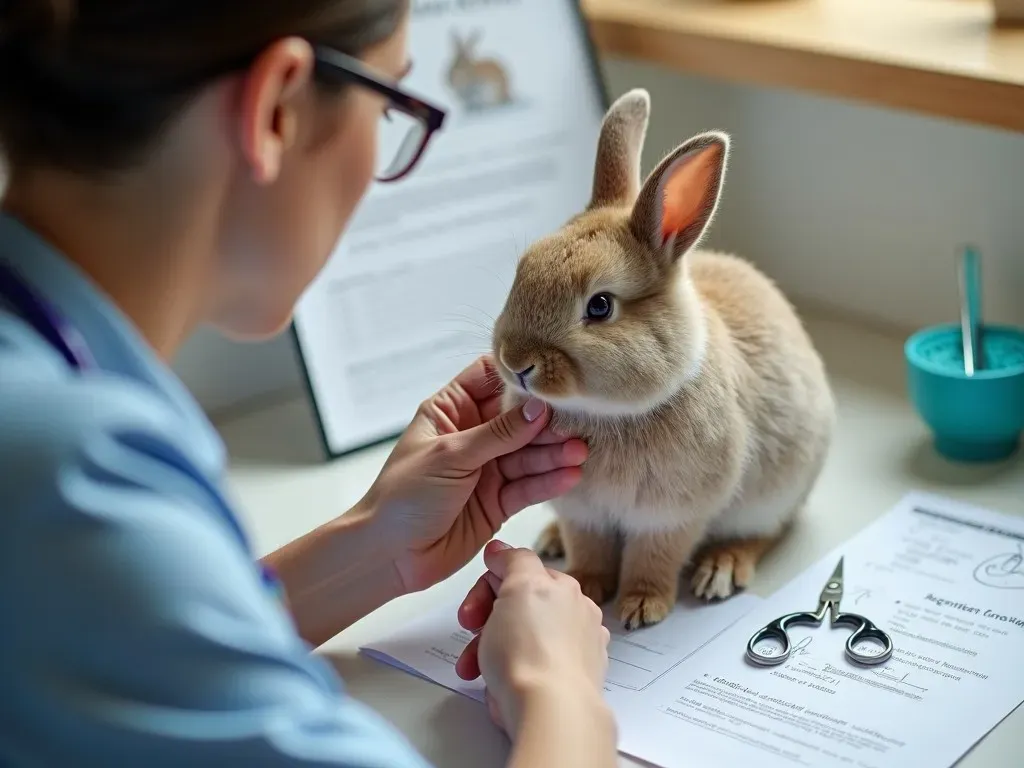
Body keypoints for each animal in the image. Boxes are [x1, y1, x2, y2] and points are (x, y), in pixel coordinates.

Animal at [491, 88, 835, 630]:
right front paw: (584, 586)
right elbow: (590, 550)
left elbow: (654, 557)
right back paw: (550, 542)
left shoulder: (670, 514)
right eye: (522, 271)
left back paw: (721, 569)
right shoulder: (582, 511)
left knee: (769, 532)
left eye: (600, 306)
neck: (604, 413)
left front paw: (640, 607)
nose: (515, 362)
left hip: (776, 492)